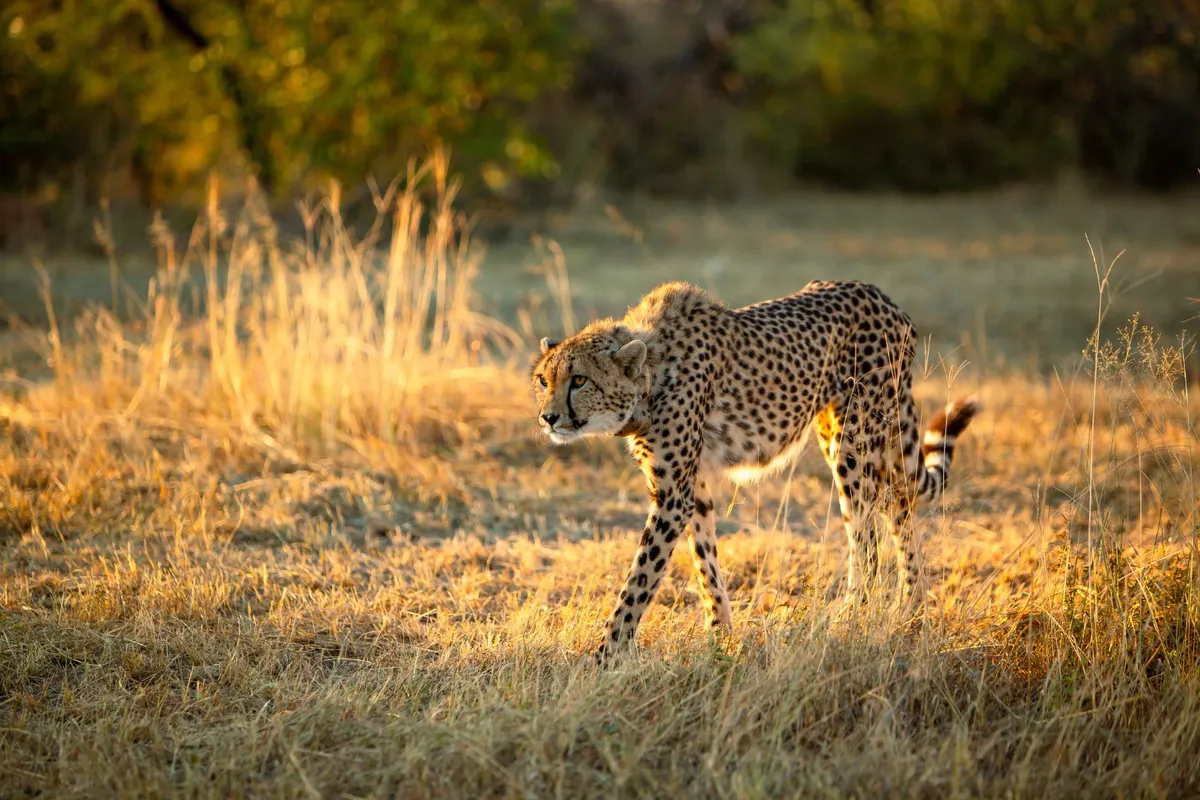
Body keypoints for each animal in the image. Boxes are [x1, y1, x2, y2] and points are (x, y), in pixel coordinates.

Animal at [531, 280, 979, 663]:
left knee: (867, 539)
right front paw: (721, 637)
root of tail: (881, 296)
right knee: (898, 506)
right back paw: (912, 609)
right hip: (843, 432)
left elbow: (640, 579)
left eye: (579, 380)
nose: (548, 418)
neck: (650, 376)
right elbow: (705, 563)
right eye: (542, 380)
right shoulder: (694, 485)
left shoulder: (674, 495)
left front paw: (605, 657)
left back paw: (851, 618)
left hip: (855, 441)